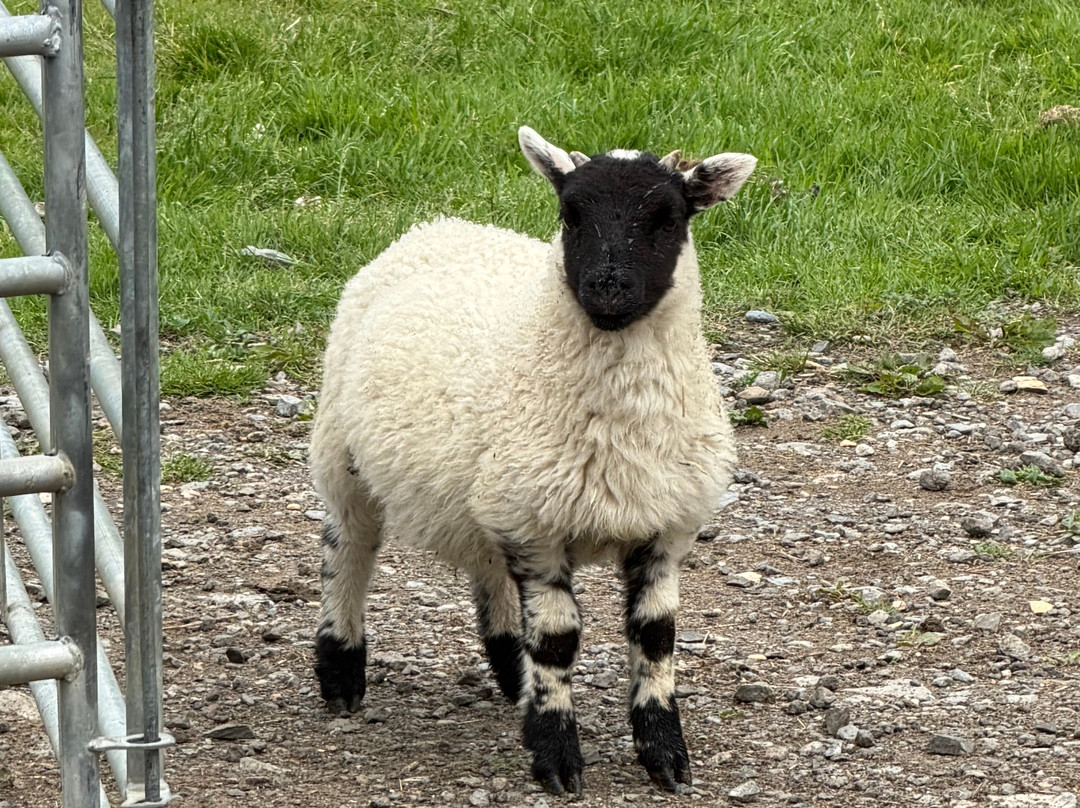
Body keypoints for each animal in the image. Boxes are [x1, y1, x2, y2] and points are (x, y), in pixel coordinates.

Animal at [310, 126, 756, 795]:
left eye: (668, 217)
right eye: (570, 214)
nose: (607, 287)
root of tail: (439, 224)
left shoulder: (661, 525)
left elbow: (656, 637)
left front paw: (665, 755)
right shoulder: (537, 528)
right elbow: (556, 640)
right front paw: (556, 756)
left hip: (489, 488)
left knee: (485, 566)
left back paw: (508, 671)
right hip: (345, 454)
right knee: (348, 550)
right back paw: (341, 670)